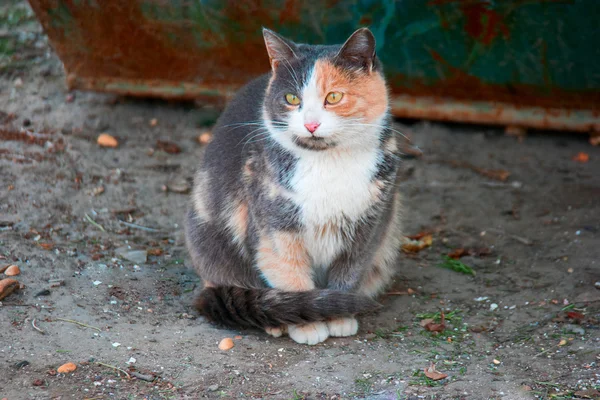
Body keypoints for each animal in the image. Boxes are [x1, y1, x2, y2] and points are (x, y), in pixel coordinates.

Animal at [186, 27, 404, 344]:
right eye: (291, 98)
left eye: (333, 97)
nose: (311, 124)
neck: (327, 163)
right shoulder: (274, 226)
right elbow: (289, 274)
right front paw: (308, 323)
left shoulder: (370, 226)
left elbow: (349, 272)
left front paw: (338, 315)